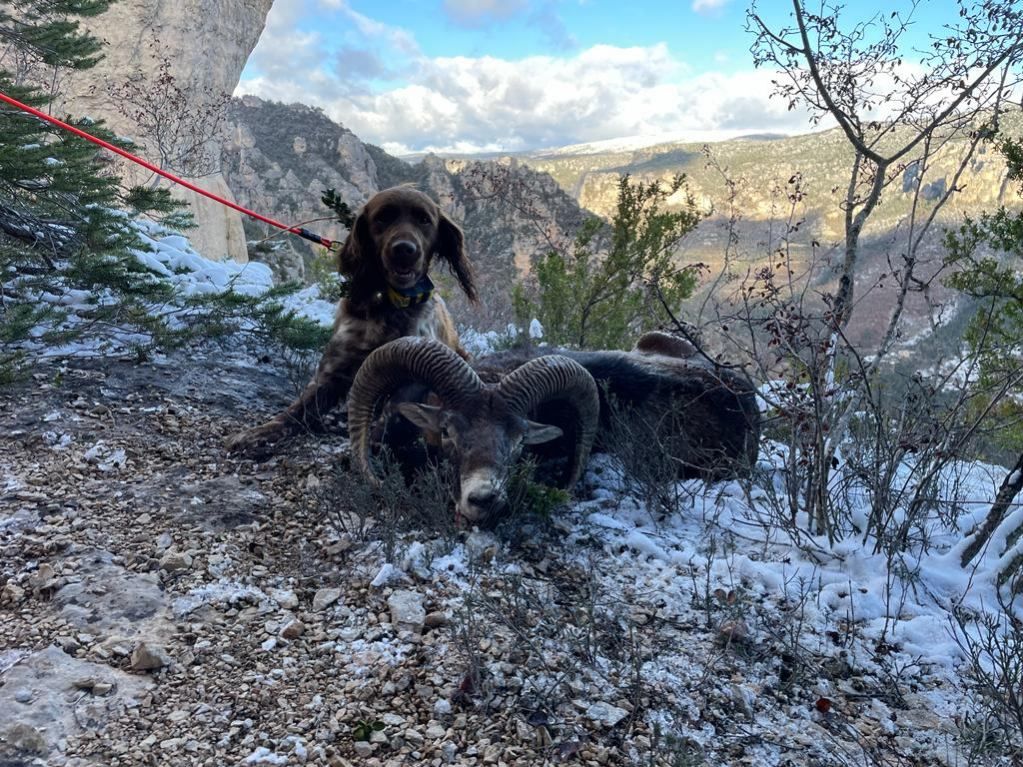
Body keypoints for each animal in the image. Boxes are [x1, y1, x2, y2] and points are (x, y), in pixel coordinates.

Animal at [226, 186, 476, 456]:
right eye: (382, 217)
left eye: (424, 220)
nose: (404, 250)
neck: (388, 304)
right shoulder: (333, 370)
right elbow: (294, 410)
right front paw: (256, 433)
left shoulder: (418, 369)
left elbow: (395, 408)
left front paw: (377, 440)